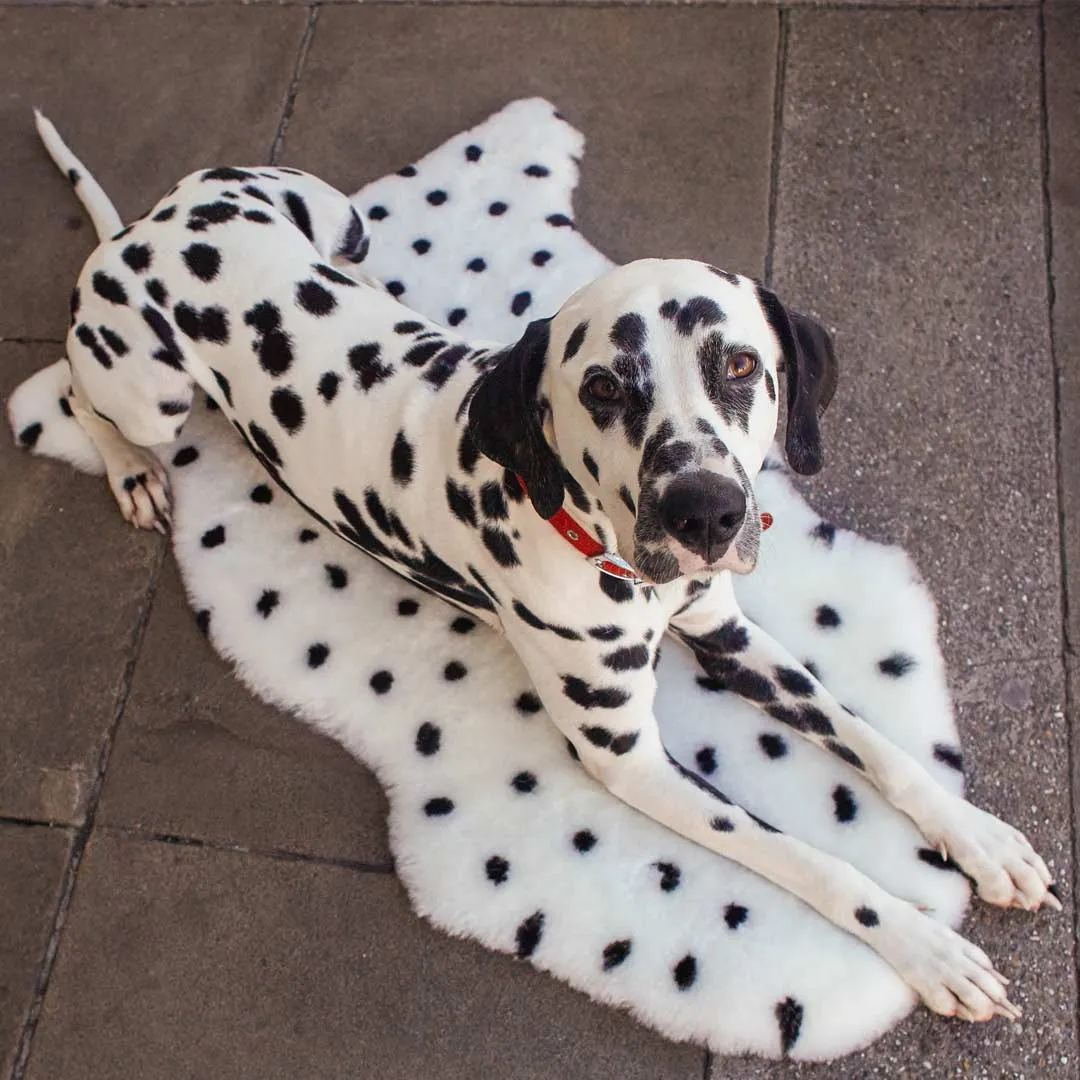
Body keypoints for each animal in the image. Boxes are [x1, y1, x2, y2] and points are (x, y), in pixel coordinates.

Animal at [50, 135, 1054, 1019]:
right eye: (604, 387)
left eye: (740, 365)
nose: (705, 512)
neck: (609, 556)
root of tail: (141, 228)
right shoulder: (632, 760)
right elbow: (815, 862)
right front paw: (925, 947)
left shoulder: (728, 634)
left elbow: (873, 741)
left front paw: (980, 838)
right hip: (153, 392)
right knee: (72, 380)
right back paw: (130, 470)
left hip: (336, 218)